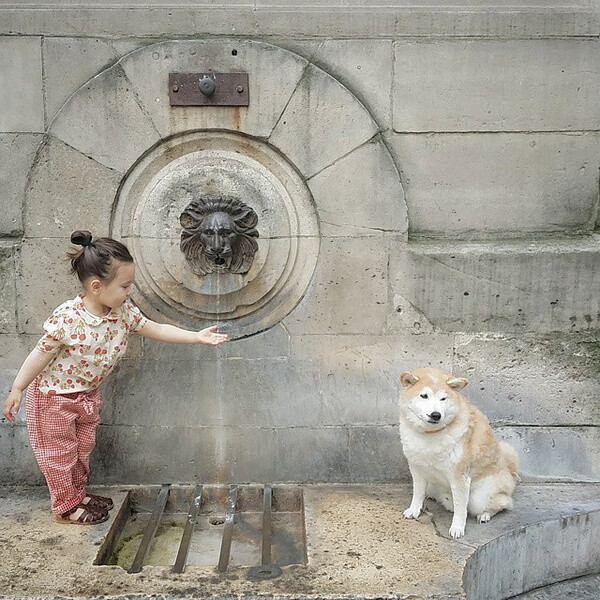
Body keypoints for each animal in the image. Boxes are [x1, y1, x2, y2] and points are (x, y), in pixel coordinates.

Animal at [396, 366, 516, 540]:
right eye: (424, 396)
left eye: (443, 399)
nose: (436, 414)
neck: (430, 435)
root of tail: (509, 469)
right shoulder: (417, 468)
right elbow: (417, 493)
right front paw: (414, 510)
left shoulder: (459, 477)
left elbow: (460, 509)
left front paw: (457, 528)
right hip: (434, 485)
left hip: (480, 497)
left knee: (502, 502)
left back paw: (485, 514)